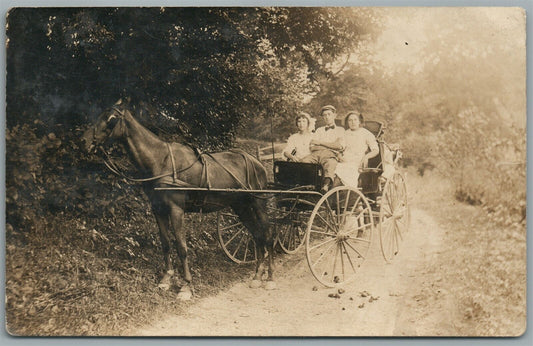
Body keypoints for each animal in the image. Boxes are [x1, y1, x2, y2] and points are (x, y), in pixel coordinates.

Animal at [83, 98, 274, 298]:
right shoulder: (158, 209)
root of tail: (257, 162)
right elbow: (166, 243)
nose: (84, 140)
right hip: (241, 206)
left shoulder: (176, 210)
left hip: (258, 202)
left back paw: (269, 278)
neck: (161, 161)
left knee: (268, 233)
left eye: (111, 119)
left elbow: (182, 246)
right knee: (257, 235)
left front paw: (186, 285)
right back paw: (257, 276)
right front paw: (166, 279)